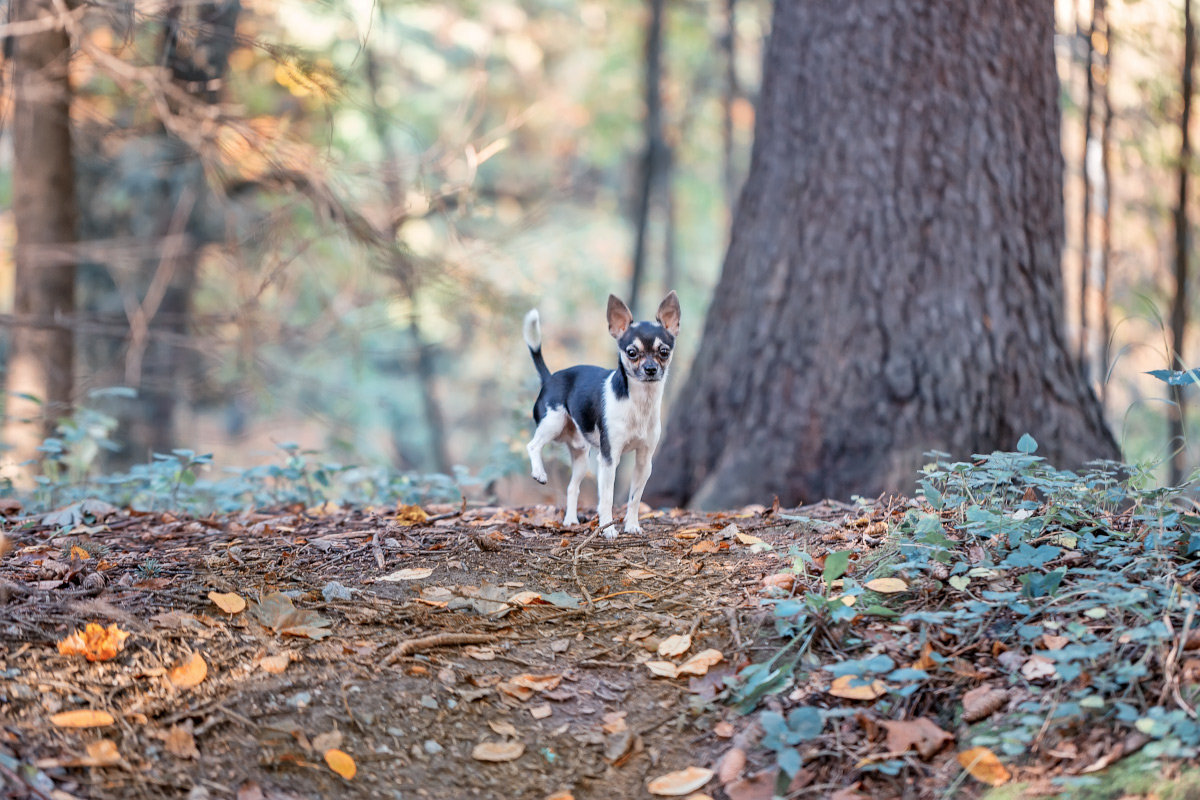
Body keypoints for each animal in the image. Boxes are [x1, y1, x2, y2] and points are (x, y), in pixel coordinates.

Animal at [523, 292, 681, 537]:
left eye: (664, 352)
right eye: (632, 353)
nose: (650, 369)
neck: (639, 404)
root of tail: (550, 378)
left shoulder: (644, 462)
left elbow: (635, 498)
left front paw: (632, 525)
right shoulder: (608, 459)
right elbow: (606, 498)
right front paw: (608, 529)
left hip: (581, 456)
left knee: (572, 487)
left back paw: (570, 520)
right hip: (553, 422)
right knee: (533, 445)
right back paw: (539, 473)